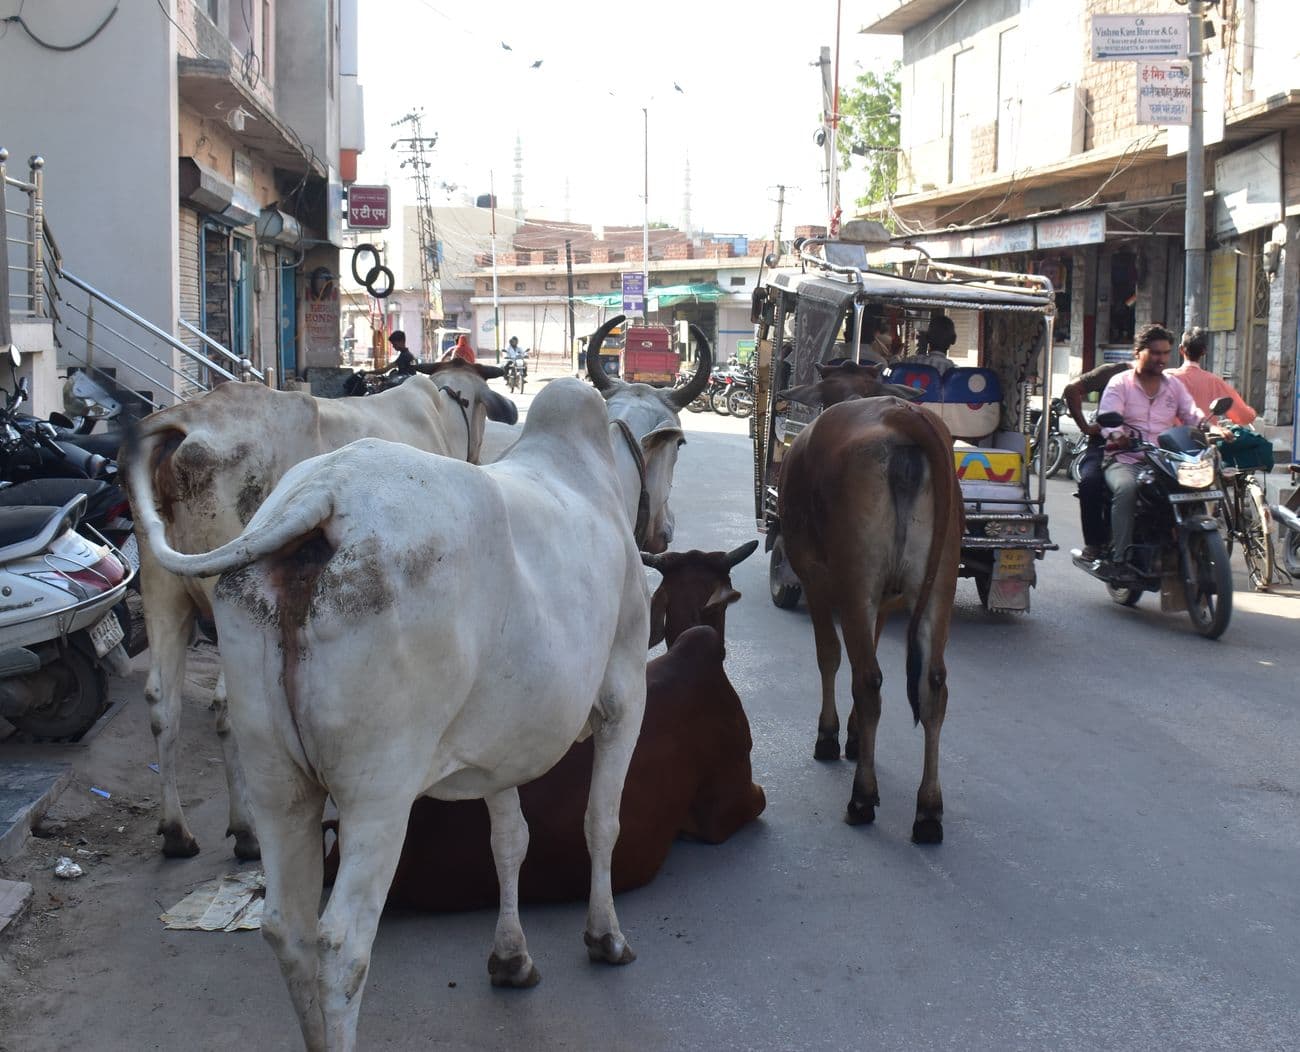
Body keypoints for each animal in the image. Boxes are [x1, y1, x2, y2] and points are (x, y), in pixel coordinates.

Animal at [124, 364, 514, 858]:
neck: (441, 409)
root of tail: (187, 420)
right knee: (226, 708)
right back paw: (246, 829)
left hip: (161, 583)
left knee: (161, 701)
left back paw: (176, 831)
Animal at [774, 361, 961, 847]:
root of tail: (903, 416)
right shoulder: (884, 599)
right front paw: (856, 736)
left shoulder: (817, 579)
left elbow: (829, 656)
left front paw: (831, 735)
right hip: (941, 582)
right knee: (933, 685)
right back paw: (928, 810)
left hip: (856, 577)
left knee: (869, 679)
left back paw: (862, 797)